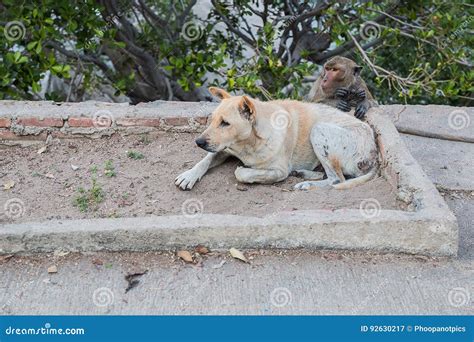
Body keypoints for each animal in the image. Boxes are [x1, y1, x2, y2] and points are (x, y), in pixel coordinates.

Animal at [174, 86, 378, 190]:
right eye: (213, 119)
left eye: (225, 123)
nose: (198, 142)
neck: (248, 143)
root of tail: (374, 151)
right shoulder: (223, 148)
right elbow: (205, 160)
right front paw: (188, 175)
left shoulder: (279, 171)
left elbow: (242, 173)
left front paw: (245, 169)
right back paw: (304, 173)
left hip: (318, 130)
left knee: (337, 179)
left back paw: (307, 184)